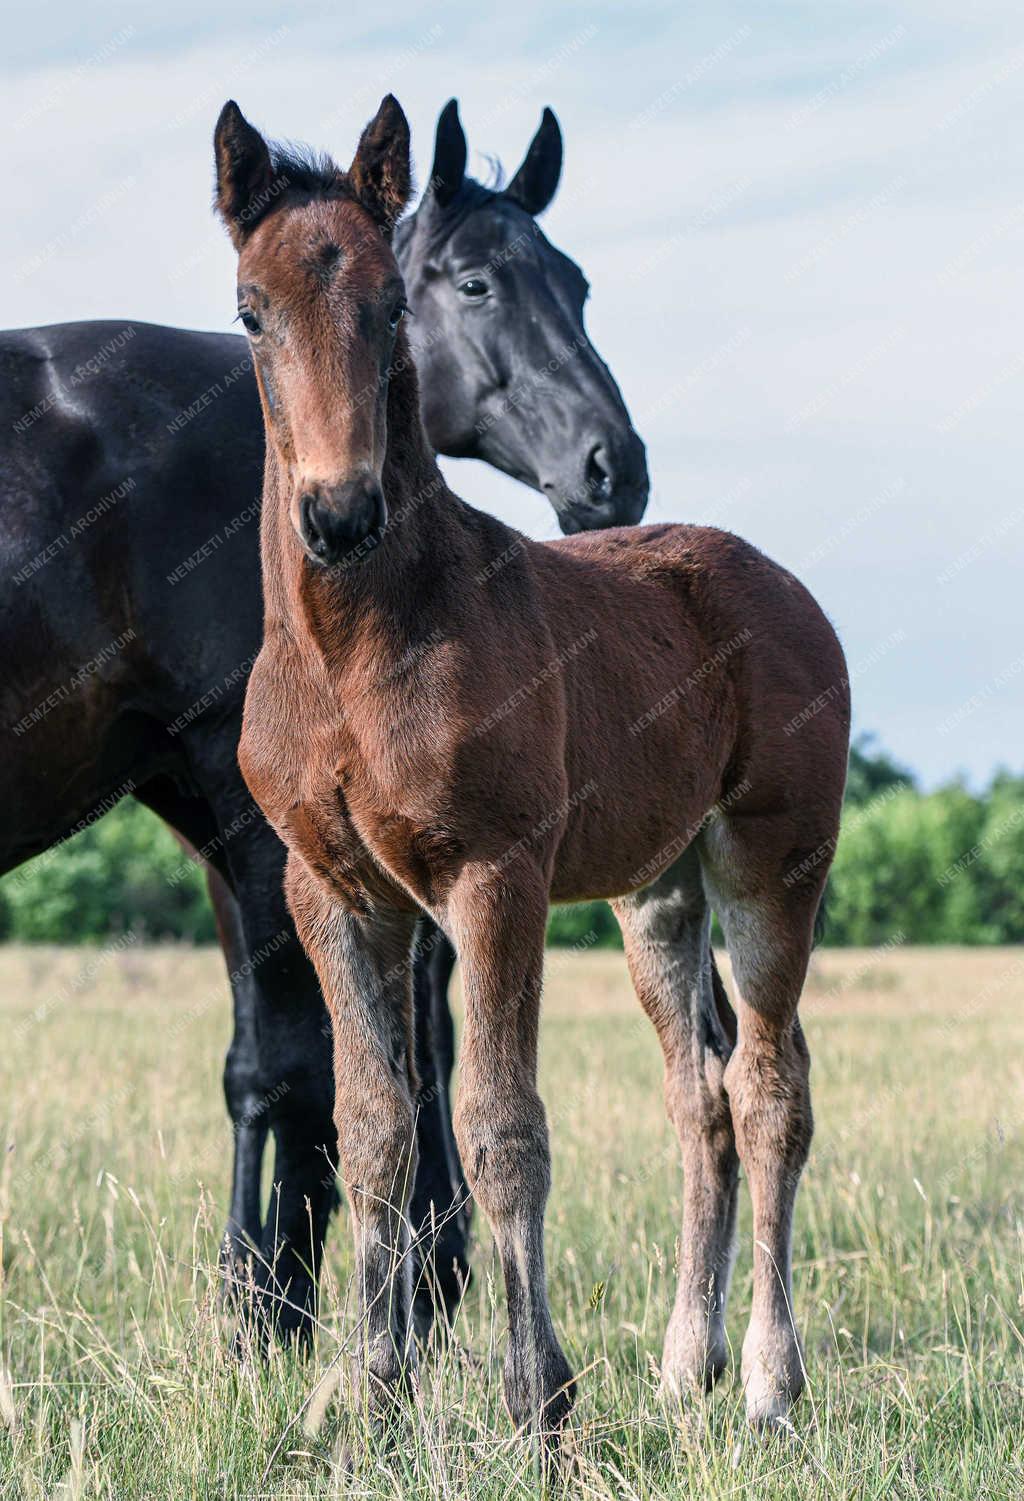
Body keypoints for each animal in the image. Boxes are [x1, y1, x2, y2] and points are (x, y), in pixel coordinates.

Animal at [1, 99, 645, 1332]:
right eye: (474, 282)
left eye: (581, 286)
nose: (615, 469)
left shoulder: (242, 799)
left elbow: (295, 1064)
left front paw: (270, 1312)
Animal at [213, 96, 846, 1440]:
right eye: (249, 309)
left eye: (393, 307)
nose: (338, 514)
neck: (356, 649)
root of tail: (772, 578)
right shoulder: (330, 893)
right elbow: (375, 1131)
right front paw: (363, 1396)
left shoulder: (492, 876)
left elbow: (502, 1130)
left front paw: (537, 1401)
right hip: (656, 893)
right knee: (699, 1099)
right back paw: (683, 1365)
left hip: (771, 862)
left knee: (770, 1087)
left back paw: (768, 1382)